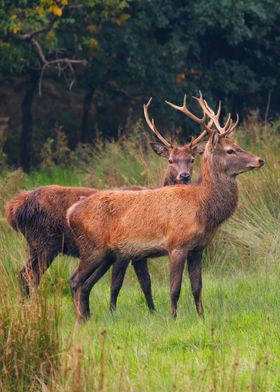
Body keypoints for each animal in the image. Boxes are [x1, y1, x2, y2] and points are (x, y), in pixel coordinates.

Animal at [3, 102, 206, 312]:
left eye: (191, 159)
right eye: (171, 160)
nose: (184, 176)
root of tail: (14, 208)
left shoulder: (138, 253)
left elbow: (145, 282)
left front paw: (152, 311)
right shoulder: (125, 250)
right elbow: (118, 283)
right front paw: (115, 311)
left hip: (38, 245)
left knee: (24, 274)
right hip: (44, 242)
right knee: (29, 275)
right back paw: (35, 307)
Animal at [66, 92, 264, 322]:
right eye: (230, 150)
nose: (260, 160)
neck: (202, 207)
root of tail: (71, 212)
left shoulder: (198, 248)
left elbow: (197, 287)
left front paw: (201, 317)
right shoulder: (176, 245)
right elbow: (175, 288)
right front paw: (174, 318)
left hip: (107, 254)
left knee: (86, 284)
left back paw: (87, 318)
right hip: (91, 247)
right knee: (75, 281)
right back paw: (80, 319)